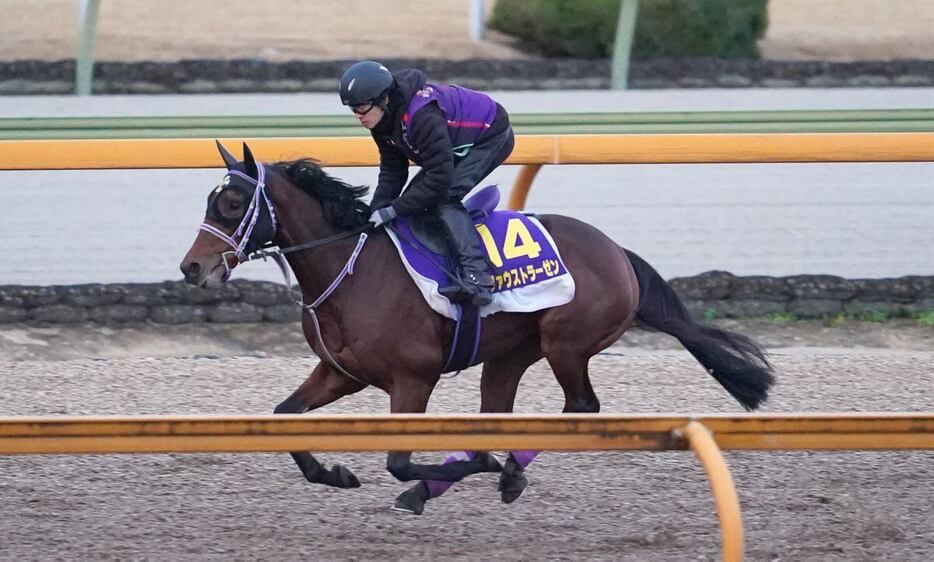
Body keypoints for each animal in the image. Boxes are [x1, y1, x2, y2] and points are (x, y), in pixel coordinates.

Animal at [181, 143, 776, 512]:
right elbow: (284, 418)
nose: (191, 267)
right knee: (505, 412)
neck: (350, 269)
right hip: (510, 355)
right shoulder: (340, 373)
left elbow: (400, 463)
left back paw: (496, 472)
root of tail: (617, 252)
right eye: (211, 200)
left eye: (231, 202)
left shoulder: (413, 380)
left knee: (579, 407)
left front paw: (463, 471)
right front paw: (334, 473)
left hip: (566, 343)